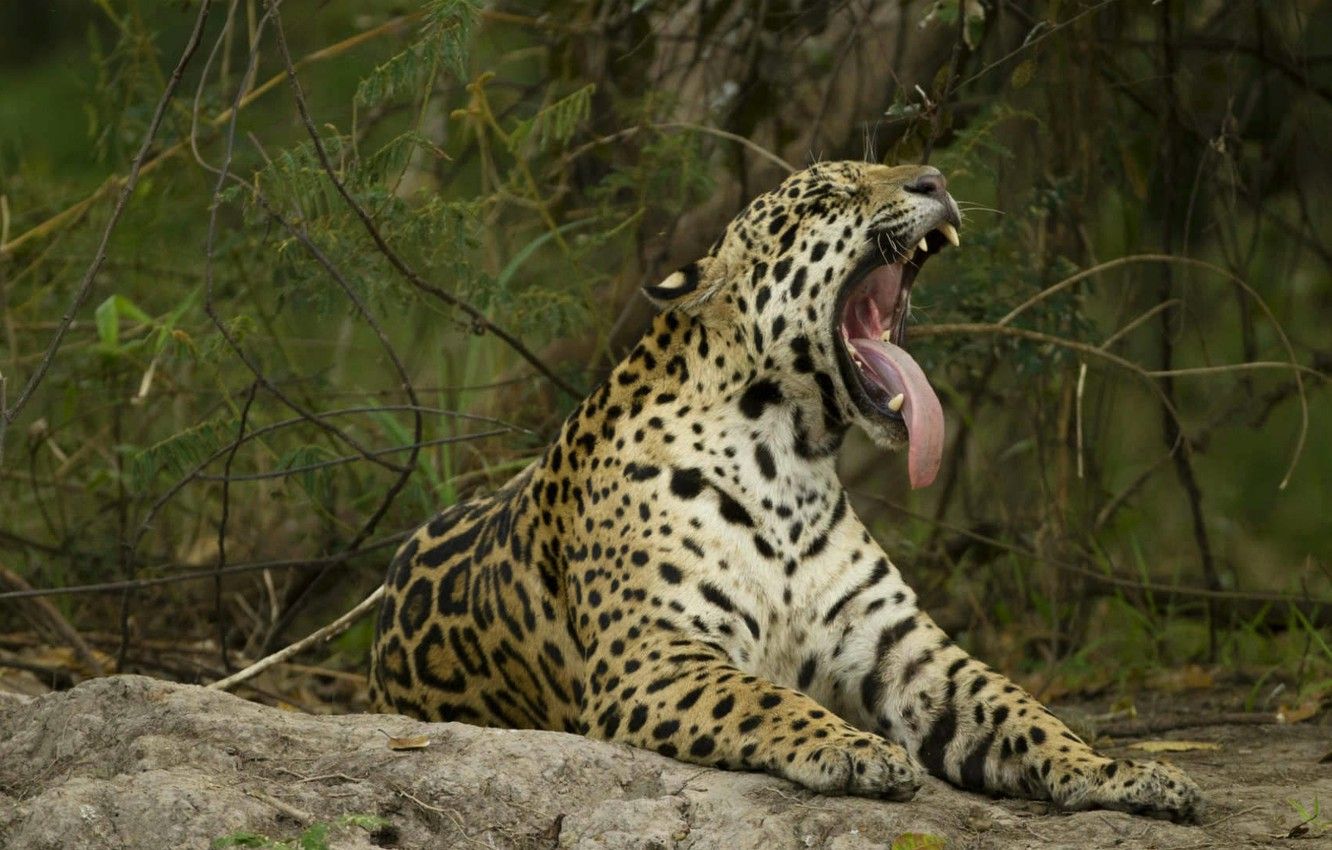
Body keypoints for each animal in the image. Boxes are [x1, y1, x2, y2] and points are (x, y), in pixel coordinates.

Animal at [369, 160, 1203, 820]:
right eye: (828, 194)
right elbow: (761, 697)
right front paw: (857, 750)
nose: (936, 180)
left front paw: (1121, 771)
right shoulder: (655, 655)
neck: (789, 463)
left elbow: (1021, 710)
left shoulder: (904, 651)